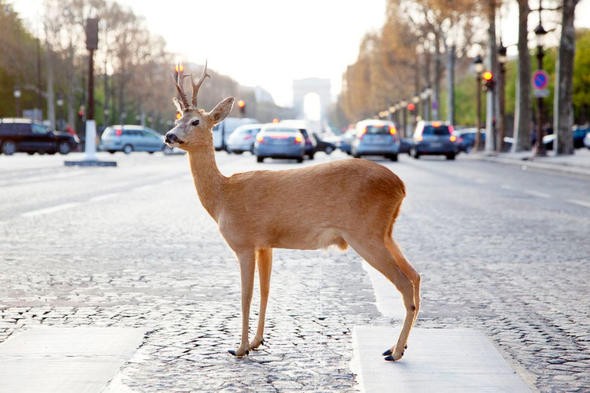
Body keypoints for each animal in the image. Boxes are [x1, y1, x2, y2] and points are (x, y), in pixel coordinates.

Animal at [165, 63, 420, 362]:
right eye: (178, 116)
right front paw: (257, 341)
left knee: (404, 283)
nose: (169, 136)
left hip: (365, 232)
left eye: (195, 121)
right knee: (415, 275)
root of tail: (400, 186)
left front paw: (239, 348)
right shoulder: (265, 244)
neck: (222, 197)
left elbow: (245, 296)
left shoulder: (244, 241)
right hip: (385, 232)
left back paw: (395, 352)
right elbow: (265, 291)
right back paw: (397, 346)